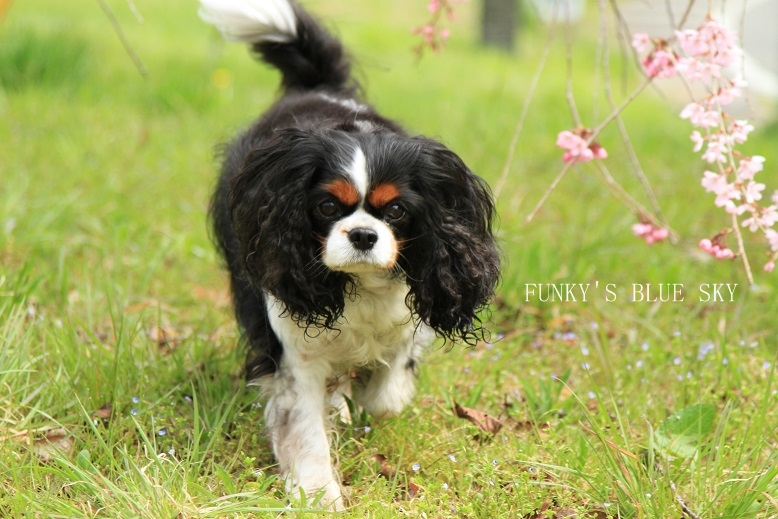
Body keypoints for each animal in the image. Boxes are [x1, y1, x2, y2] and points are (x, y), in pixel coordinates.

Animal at [199, 0, 498, 512]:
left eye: (396, 210)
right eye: (326, 207)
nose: (362, 234)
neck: (359, 286)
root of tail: (320, 86)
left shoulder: (408, 319)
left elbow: (388, 390)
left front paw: (372, 393)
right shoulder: (292, 353)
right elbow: (305, 430)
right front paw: (318, 495)